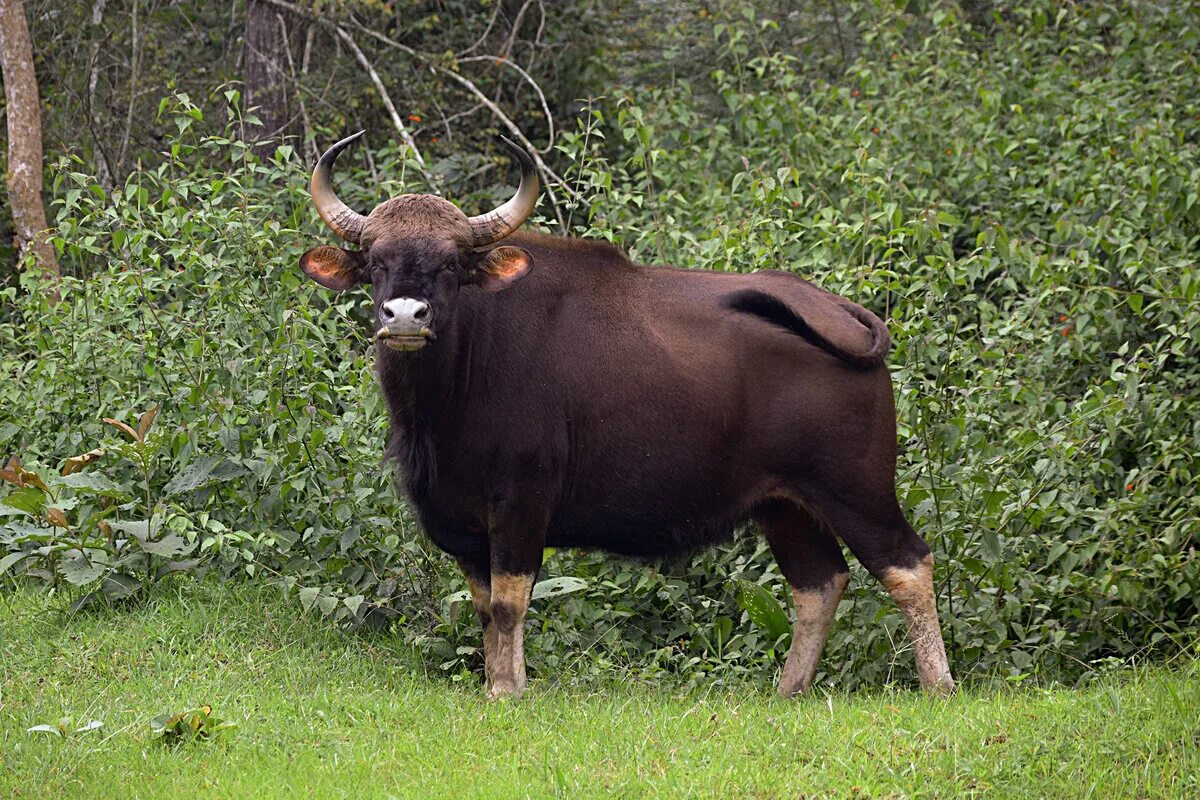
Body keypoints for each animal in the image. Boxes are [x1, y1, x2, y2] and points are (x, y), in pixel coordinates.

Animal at [300, 133, 955, 700]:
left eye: (453, 264)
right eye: (375, 262)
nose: (405, 316)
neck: (455, 386)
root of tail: (841, 312)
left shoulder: (522, 501)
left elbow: (511, 600)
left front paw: (508, 691)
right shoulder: (458, 518)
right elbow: (486, 606)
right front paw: (497, 684)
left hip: (856, 486)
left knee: (907, 564)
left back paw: (938, 685)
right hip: (784, 504)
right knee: (819, 583)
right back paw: (789, 690)